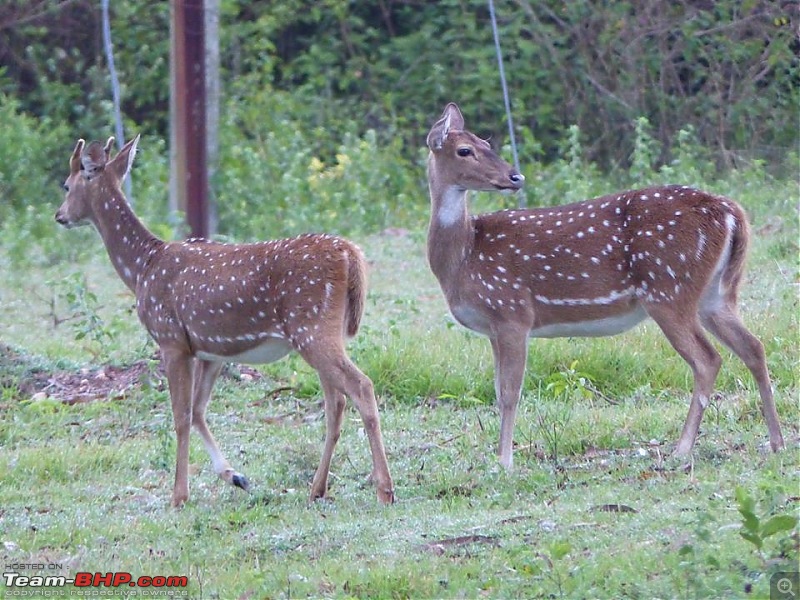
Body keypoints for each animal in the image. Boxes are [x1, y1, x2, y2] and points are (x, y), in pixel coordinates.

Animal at [55, 136, 394, 506]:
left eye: (67, 184)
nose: (59, 215)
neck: (143, 267)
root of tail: (351, 253)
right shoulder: (210, 350)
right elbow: (199, 410)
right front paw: (235, 476)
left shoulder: (171, 339)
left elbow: (180, 416)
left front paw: (179, 495)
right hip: (325, 332)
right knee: (337, 402)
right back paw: (317, 489)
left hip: (311, 327)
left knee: (360, 387)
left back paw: (384, 490)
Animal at [428, 103, 784, 466]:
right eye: (466, 149)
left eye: (485, 143)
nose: (515, 177)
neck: (465, 256)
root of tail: (730, 212)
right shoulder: (494, 327)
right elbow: (499, 390)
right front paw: (501, 458)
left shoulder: (512, 312)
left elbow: (510, 393)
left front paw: (505, 462)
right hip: (716, 294)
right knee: (753, 347)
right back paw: (776, 441)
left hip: (668, 289)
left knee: (708, 359)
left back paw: (682, 448)